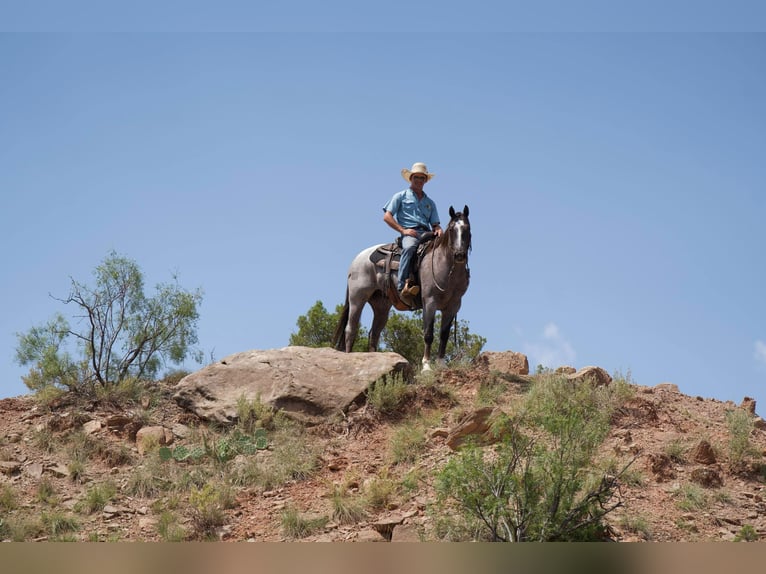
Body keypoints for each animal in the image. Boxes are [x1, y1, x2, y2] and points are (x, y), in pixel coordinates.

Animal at [333, 205, 471, 370]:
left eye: (467, 229)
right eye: (451, 229)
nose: (459, 255)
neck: (444, 266)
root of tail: (356, 260)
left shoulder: (453, 306)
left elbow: (444, 335)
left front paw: (441, 365)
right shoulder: (430, 302)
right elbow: (428, 334)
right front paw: (426, 366)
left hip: (381, 306)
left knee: (374, 334)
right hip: (357, 298)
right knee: (350, 329)